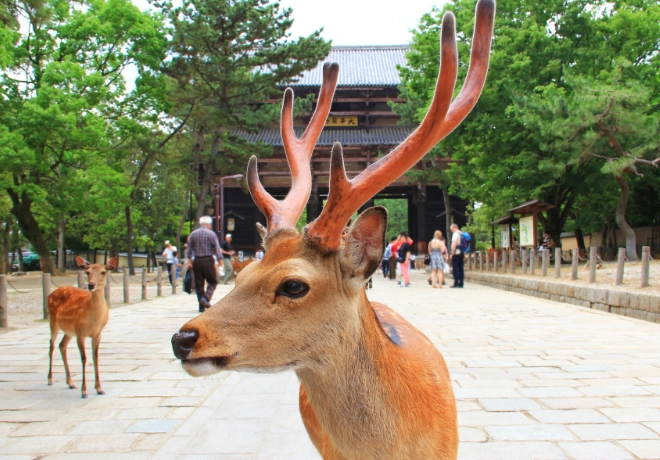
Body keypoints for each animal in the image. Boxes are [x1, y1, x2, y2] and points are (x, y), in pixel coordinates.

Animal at [47, 256, 117, 398]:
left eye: (103, 272)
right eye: (88, 272)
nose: (91, 285)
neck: (95, 319)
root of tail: (49, 295)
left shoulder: (97, 333)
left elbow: (95, 357)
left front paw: (99, 388)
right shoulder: (81, 333)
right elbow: (84, 358)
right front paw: (84, 391)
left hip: (69, 331)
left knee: (62, 345)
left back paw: (70, 383)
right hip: (53, 320)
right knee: (51, 345)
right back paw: (50, 379)